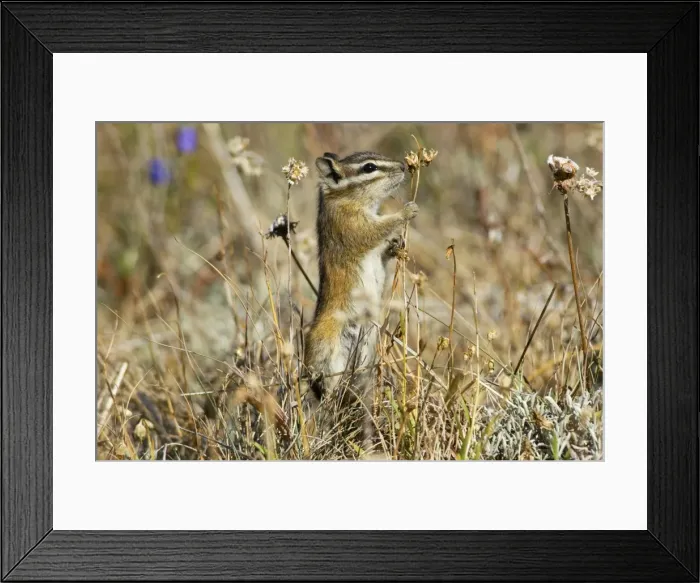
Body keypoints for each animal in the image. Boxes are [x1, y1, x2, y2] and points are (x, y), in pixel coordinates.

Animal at [302, 151, 419, 440]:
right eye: (369, 167)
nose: (403, 167)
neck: (346, 199)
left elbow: (383, 251)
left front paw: (396, 246)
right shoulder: (351, 226)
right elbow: (374, 231)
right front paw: (407, 211)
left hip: (365, 356)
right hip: (326, 354)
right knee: (328, 391)